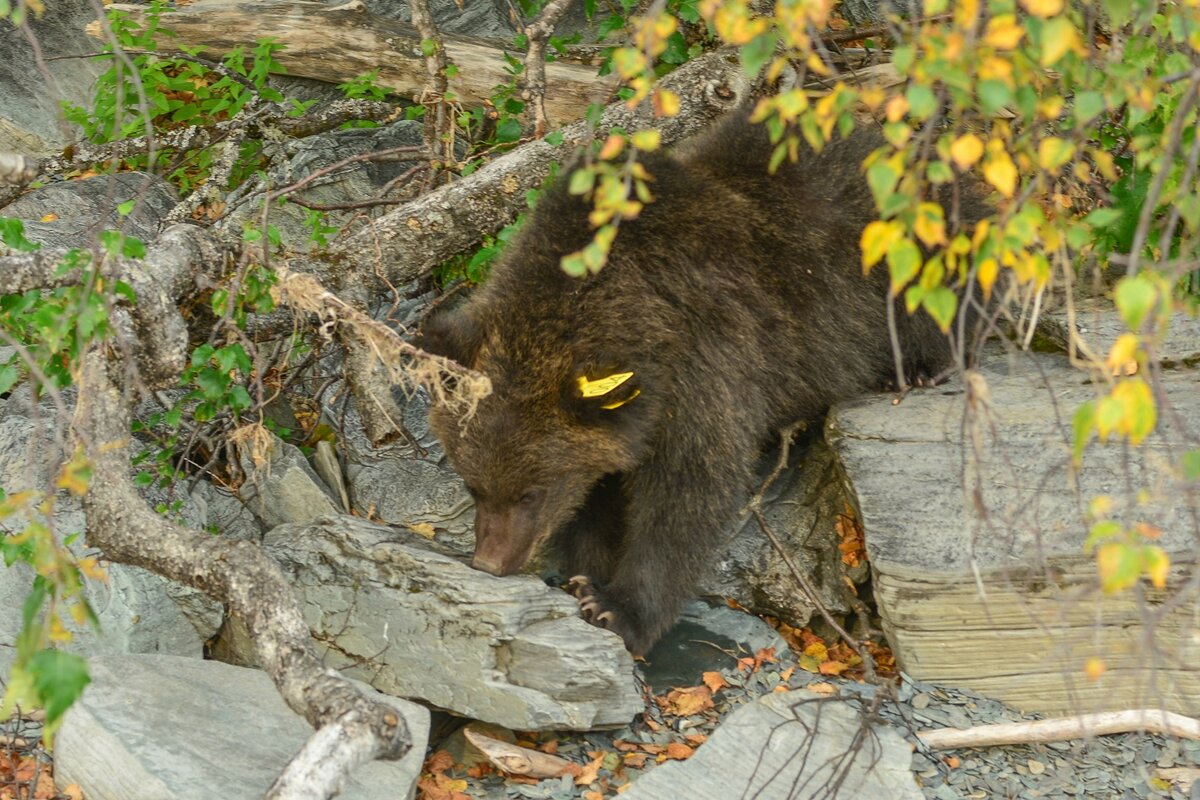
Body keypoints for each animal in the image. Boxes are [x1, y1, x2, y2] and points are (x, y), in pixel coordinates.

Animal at [417, 107, 979, 657]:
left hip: (912, 250)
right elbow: (602, 491)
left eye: (532, 492)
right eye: (473, 485)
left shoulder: (708, 361)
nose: (491, 562)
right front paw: (585, 571)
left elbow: (688, 491)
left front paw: (619, 607)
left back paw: (919, 366)